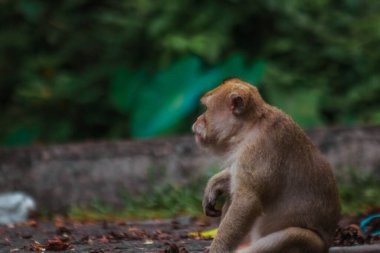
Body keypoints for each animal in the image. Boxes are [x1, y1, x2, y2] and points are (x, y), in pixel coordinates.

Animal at [193, 78, 342, 252]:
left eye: (207, 108)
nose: (197, 119)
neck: (248, 128)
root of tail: (328, 245)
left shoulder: (257, 151)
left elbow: (247, 201)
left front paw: (218, 248)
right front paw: (214, 185)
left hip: (313, 246)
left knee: (291, 236)